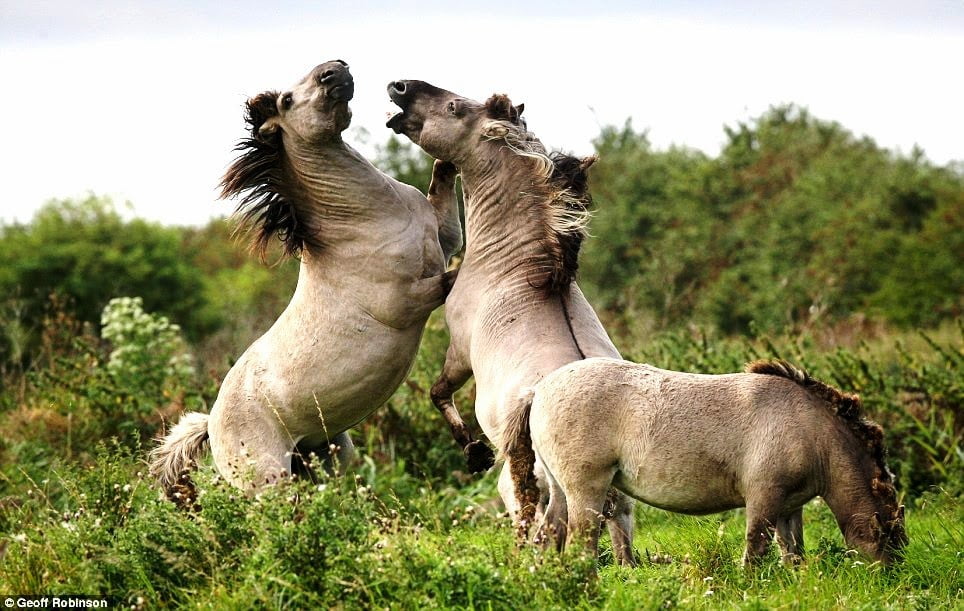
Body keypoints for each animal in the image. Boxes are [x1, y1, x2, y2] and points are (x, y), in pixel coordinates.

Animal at [150, 59, 464, 494]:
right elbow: (456, 277)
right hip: (271, 481)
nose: (335, 69)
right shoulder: (411, 299)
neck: (369, 218)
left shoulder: (444, 240)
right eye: (286, 99)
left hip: (328, 457)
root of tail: (210, 426)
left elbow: (443, 185)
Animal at [384, 80, 640, 564]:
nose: (400, 88)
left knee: (536, 518)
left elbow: (438, 392)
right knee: (617, 529)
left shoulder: (459, 351)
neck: (519, 268)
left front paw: (474, 453)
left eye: (453, 106)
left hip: (538, 470)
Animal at [504, 358, 904, 568]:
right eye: (889, 537)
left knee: (548, 537)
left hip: (559, 492)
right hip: (587, 492)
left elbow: (793, 551)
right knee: (580, 543)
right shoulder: (764, 499)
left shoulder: (790, 506)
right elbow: (755, 547)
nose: (890, 578)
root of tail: (539, 389)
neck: (806, 424)